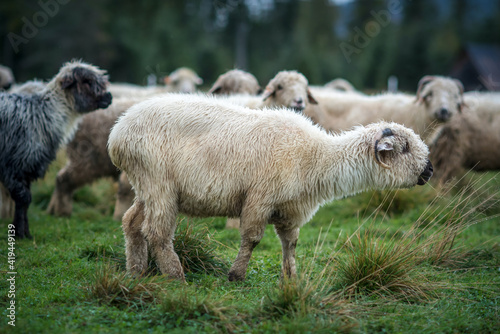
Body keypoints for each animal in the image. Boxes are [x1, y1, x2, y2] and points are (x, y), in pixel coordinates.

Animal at [109, 93, 434, 282]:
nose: (430, 170)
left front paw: (290, 278)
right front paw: (236, 275)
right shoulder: (260, 198)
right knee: (158, 233)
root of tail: (117, 133)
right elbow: (252, 239)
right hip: (158, 182)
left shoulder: (290, 209)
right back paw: (175, 276)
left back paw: (135, 271)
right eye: (404, 148)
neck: (316, 157)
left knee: (132, 223)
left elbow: (290, 243)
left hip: (145, 185)